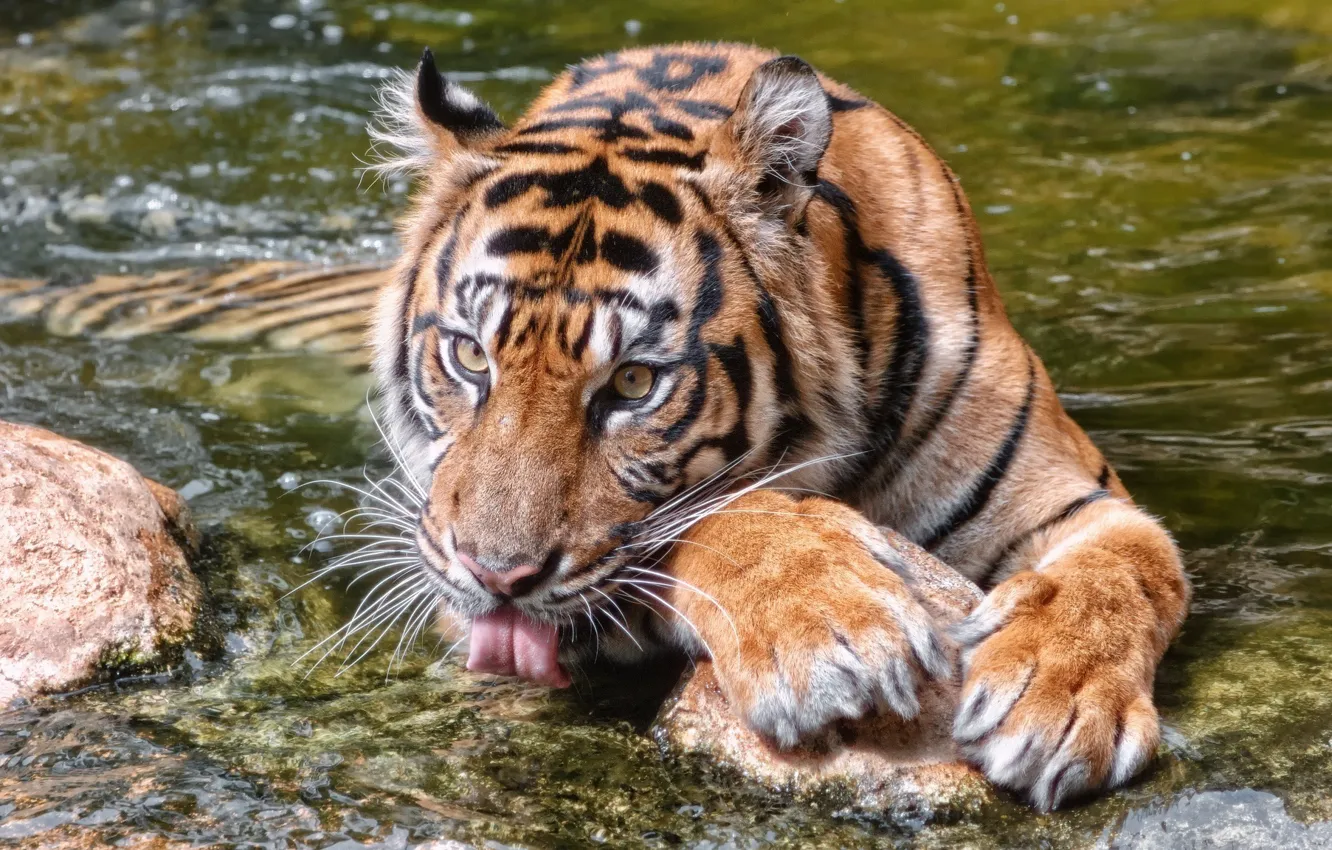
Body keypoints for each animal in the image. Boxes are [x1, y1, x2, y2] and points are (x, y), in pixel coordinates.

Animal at [0, 42, 1191, 812]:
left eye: (633, 384)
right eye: (469, 357)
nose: (495, 577)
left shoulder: (1084, 503)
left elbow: (1128, 573)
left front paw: (1057, 703)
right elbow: (709, 523)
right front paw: (833, 627)